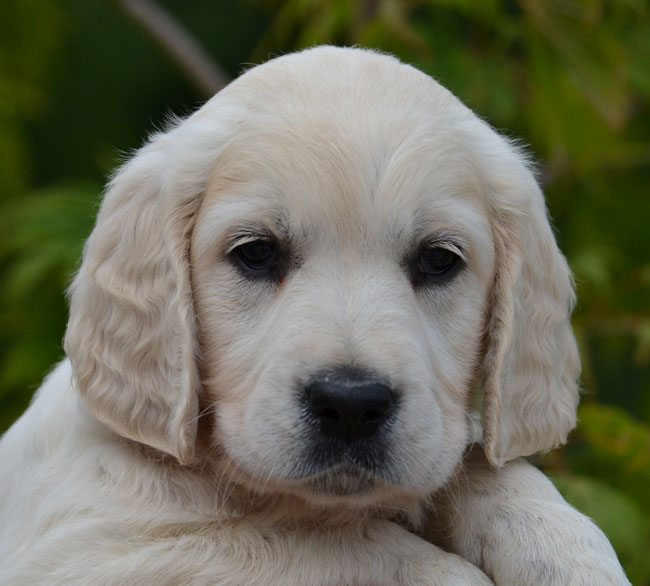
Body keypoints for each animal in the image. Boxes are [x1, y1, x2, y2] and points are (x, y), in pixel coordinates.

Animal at [0, 46, 628, 584]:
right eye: (255, 253)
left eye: (438, 260)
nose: (350, 404)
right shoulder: (84, 551)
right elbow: (317, 545)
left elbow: (495, 474)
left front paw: (564, 552)